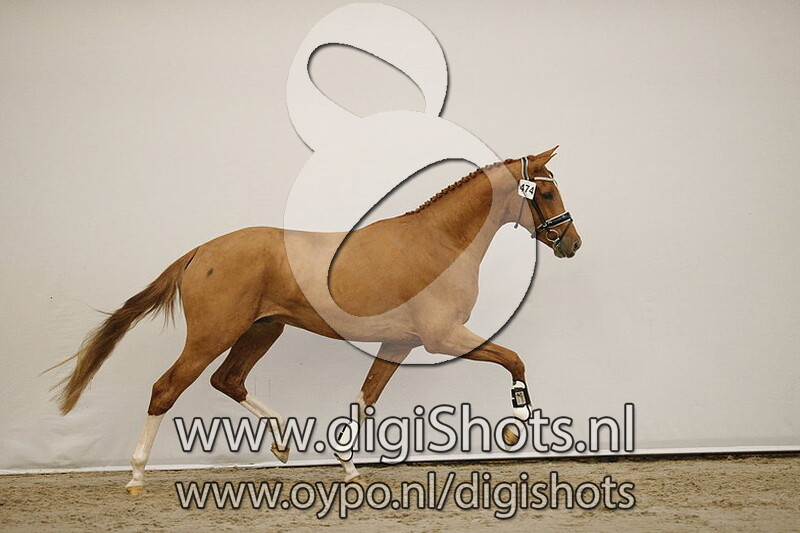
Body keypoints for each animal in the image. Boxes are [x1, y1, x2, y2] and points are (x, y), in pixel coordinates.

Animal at [50, 148, 581, 493]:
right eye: (546, 194)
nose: (572, 243)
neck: (439, 242)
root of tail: (201, 251)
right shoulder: (442, 338)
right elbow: (514, 358)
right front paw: (517, 424)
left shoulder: (401, 344)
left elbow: (366, 399)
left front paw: (347, 465)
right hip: (213, 334)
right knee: (167, 388)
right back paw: (137, 476)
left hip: (263, 329)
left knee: (228, 380)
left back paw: (284, 445)